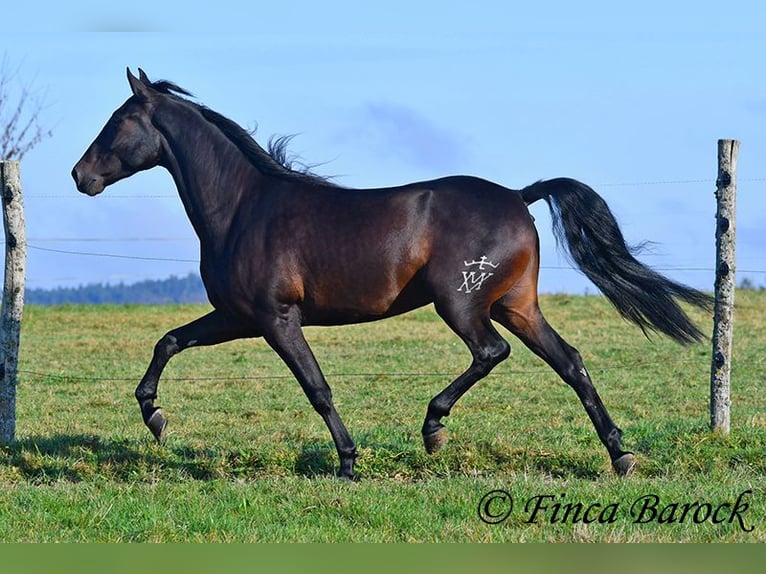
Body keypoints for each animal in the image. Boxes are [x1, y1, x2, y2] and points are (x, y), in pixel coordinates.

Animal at [72, 68, 712, 482]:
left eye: (118, 121)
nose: (81, 176)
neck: (243, 206)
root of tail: (517, 195)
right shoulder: (237, 316)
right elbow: (169, 341)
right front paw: (155, 417)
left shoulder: (275, 319)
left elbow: (317, 388)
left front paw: (348, 464)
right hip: (517, 305)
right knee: (570, 361)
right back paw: (620, 455)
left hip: (462, 304)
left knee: (492, 353)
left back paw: (434, 428)